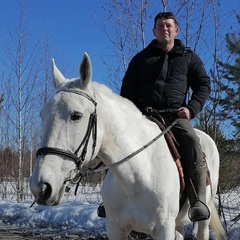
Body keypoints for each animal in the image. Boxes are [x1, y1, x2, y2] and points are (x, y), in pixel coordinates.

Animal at [29, 53, 225, 240]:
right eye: (42, 114)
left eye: (76, 115)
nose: (41, 187)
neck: (136, 174)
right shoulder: (116, 229)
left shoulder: (163, 230)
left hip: (202, 217)